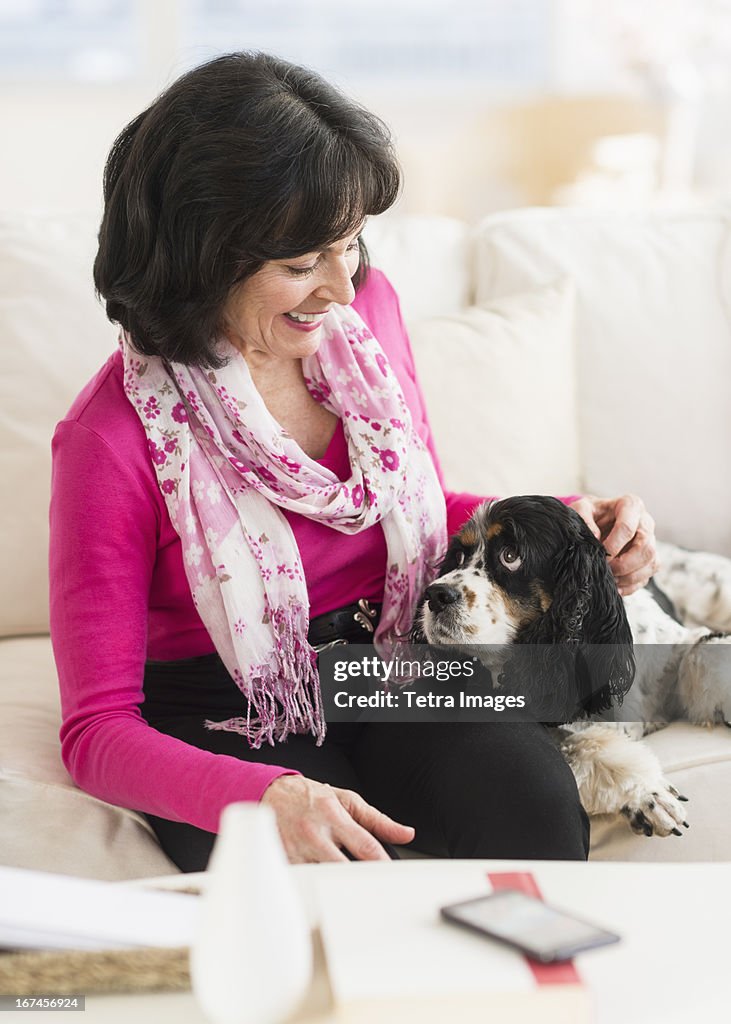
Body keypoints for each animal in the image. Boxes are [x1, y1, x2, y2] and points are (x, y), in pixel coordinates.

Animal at [413, 495, 728, 839]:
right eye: (458, 556)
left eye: (511, 555)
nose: (435, 595)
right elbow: (585, 746)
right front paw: (649, 795)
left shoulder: (674, 646)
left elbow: (704, 647)